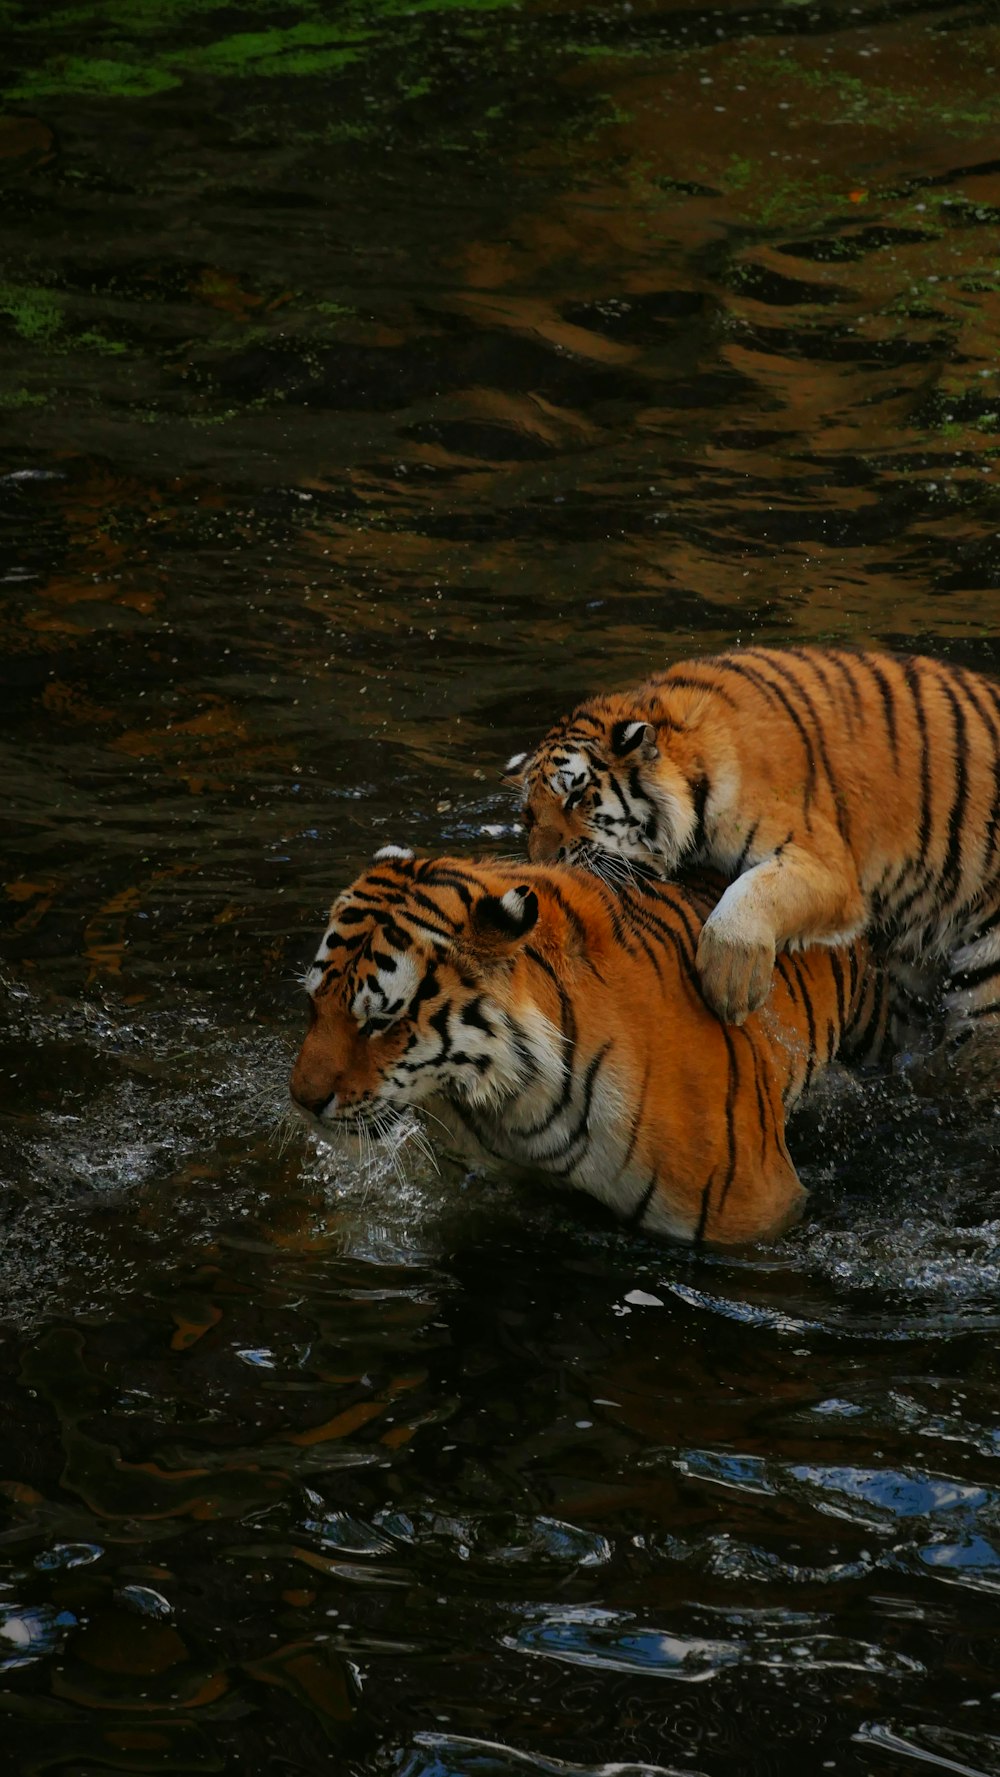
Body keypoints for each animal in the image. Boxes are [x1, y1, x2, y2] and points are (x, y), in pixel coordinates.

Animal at [504, 650, 1000, 1037]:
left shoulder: (827, 866)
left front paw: (730, 986)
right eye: (529, 816)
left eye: (576, 796)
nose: (544, 863)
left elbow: (754, 893)